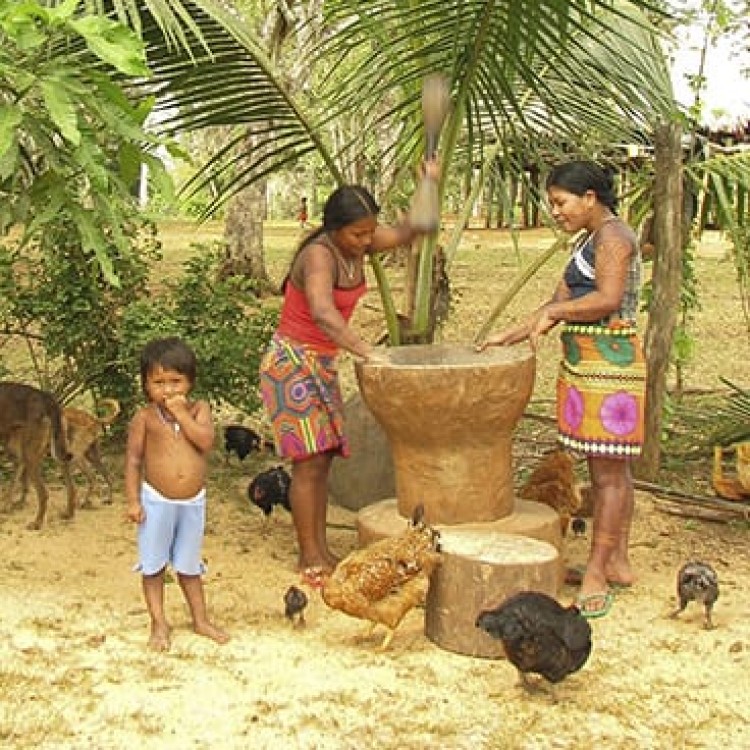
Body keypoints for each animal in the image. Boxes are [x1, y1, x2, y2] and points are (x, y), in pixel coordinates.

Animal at [0, 384, 76, 532]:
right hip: (54, 453)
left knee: (43, 493)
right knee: (71, 486)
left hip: (29, 454)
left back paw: (37, 523)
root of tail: (46, 397)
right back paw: (68, 513)